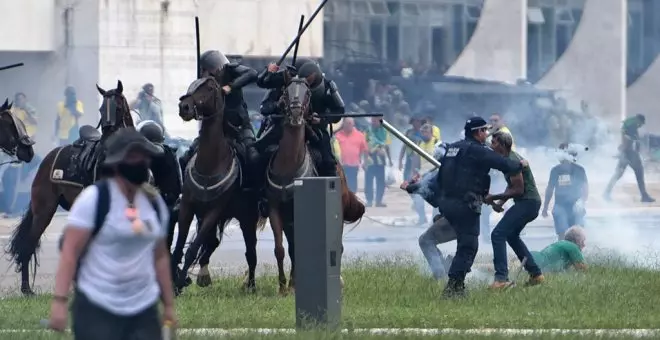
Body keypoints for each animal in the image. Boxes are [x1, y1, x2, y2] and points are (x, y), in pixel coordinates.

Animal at [6, 80, 134, 294]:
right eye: (101, 109)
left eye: (117, 107)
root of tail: (48, 158)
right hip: (44, 211)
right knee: (29, 243)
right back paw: (27, 288)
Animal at [175, 75, 268, 292]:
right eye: (192, 85)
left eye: (209, 88)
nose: (184, 107)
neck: (210, 164)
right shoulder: (188, 207)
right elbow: (180, 246)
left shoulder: (214, 211)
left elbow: (192, 248)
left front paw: (179, 283)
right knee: (213, 243)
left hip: (246, 217)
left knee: (250, 251)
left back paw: (251, 285)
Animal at [264, 75, 366, 294]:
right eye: (286, 92)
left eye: (307, 93)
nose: (295, 114)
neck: (288, 168)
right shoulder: (275, 209)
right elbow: (280, 249)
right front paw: (283, 287)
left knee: (338, 246)